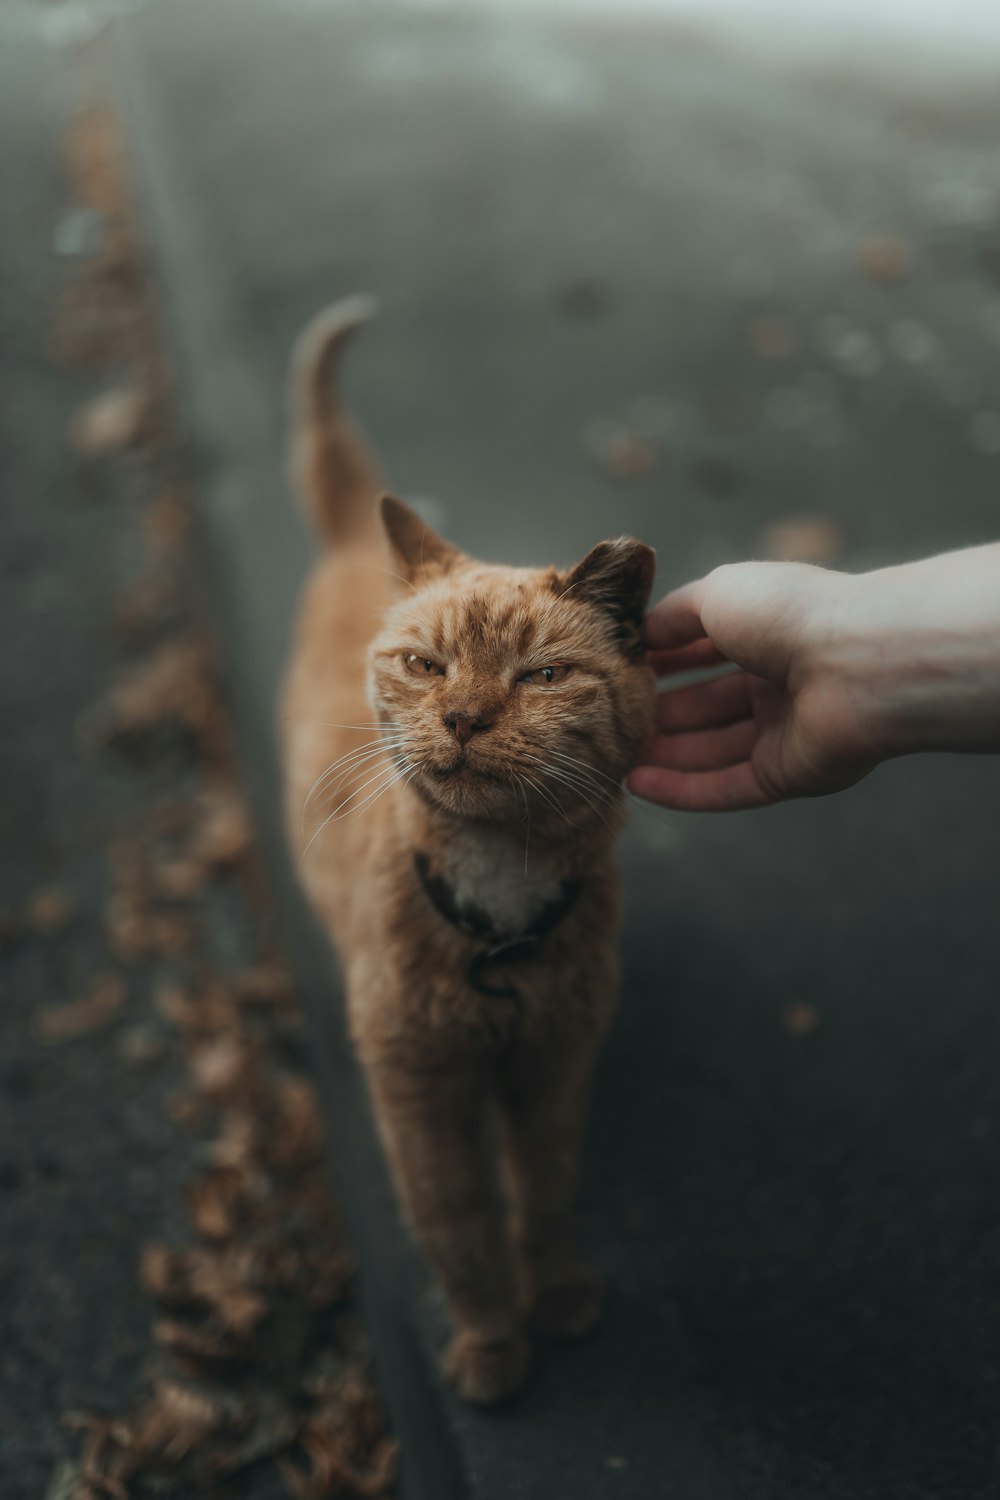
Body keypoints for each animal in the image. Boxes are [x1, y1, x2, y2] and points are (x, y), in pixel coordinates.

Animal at [281, 301, 656, 1404]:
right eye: (425, 664)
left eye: (539, 676)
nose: (460, 717)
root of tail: (360, 546)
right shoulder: (416, 1093)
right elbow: (455, 1232)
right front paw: (492, 1347)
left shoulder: (556, 1064)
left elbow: (543, 1197)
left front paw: (560, 1298)